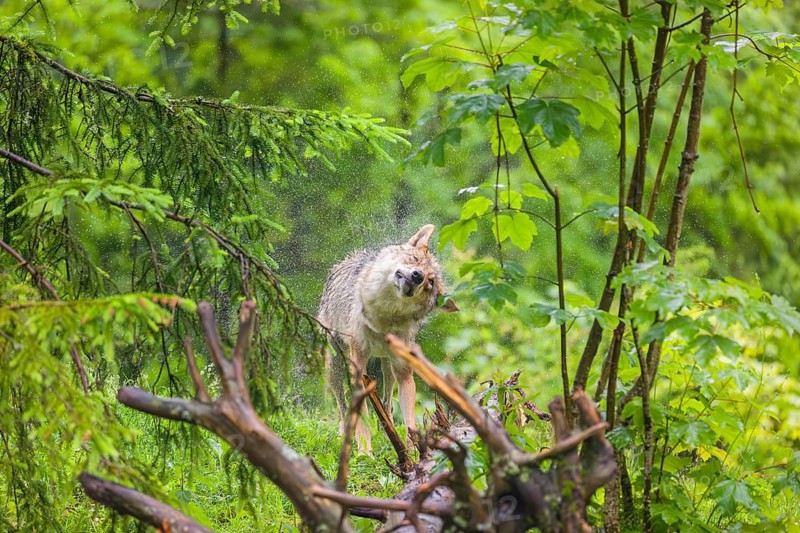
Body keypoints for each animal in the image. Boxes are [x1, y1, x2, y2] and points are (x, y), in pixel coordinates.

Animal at [318, 225, 457, 454]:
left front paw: (412, 451)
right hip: (336, 365)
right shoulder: (358, 368)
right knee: (341, 404)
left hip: (388, 368)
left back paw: (387, 431)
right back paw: (343, 433)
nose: (417, 276)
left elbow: (409, 417)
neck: (383, 316)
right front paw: (365, 453)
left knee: (387, 403)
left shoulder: (405, 371)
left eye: (430, 283)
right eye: (414, 258)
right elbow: (362, 417)